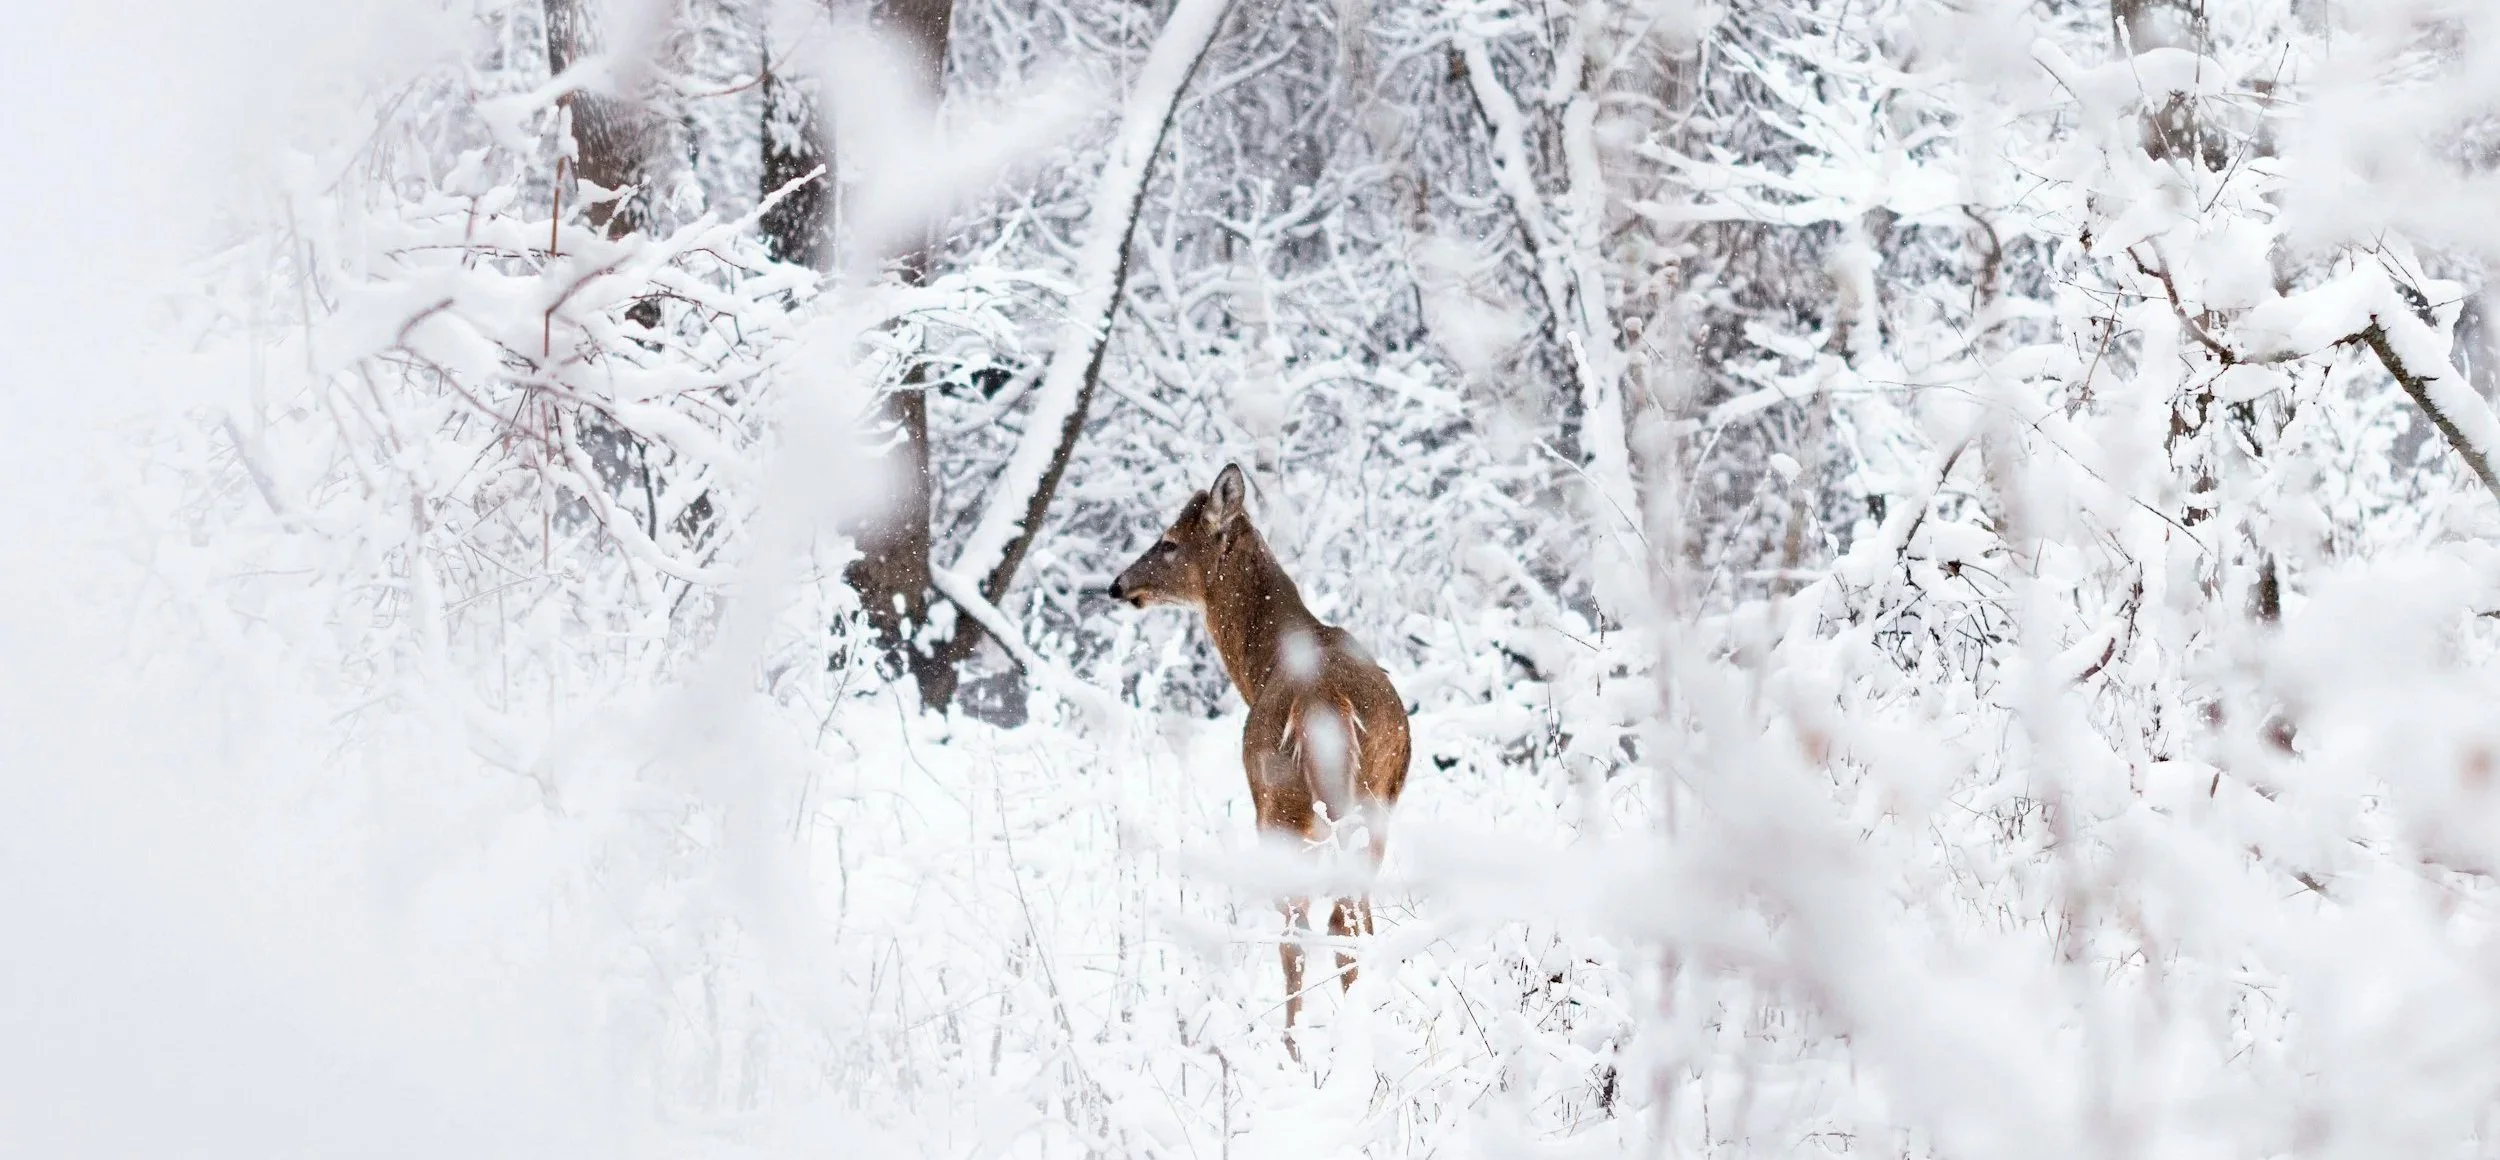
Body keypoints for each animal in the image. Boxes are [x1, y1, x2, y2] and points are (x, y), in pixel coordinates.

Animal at [1108, 463, 1411, 1057]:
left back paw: (1293, 1049)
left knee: (1303, 929)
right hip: (1370, 803)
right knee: (1353, 916)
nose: (1118, 584)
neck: (1263, 663)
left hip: (1279, 806)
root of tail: (1323, 702)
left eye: (1169, 541)